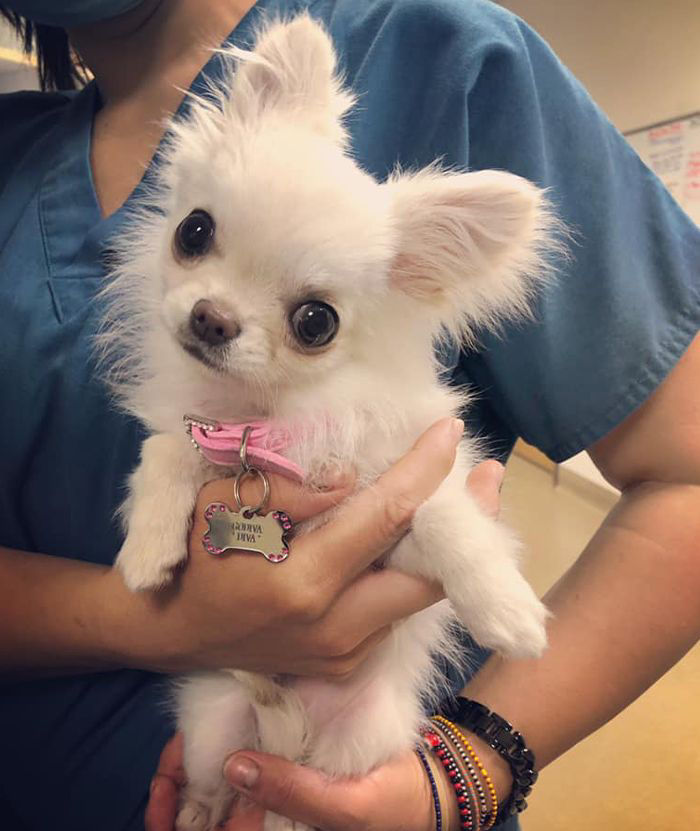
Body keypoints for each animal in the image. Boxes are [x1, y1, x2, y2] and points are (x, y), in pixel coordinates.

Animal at [101, 13, 556, 831]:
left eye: (316, 322)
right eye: (193, 231)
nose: (210, 318)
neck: (265, 418)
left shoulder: (395, 543)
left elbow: (442, 515)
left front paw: (505, 608)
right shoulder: (202, 429)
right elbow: (169, 450)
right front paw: (148, 548)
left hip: (360, 739)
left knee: (300, 787)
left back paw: (285, 806)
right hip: (213, 722)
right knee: (232, 775)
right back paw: (200, 809)